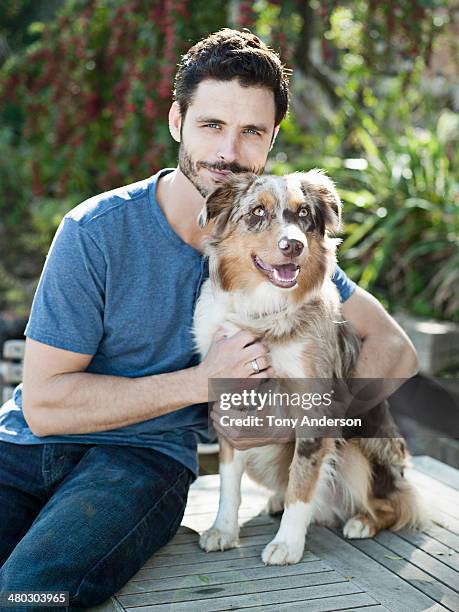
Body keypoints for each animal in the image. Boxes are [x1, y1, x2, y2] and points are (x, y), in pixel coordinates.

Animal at [192, 170, 426, 568]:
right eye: (257, 211)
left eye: (303, 214)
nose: (294, 246)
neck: (264, 313)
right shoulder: (231, 400)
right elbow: (228, 479)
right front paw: (223, 530)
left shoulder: (314, 408)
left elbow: (302, 482)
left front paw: (287, 545)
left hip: (361, 448)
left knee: (397, 504)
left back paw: (362, 521)